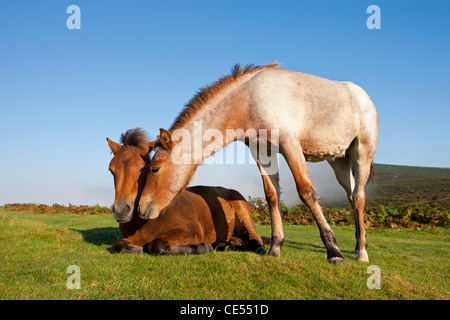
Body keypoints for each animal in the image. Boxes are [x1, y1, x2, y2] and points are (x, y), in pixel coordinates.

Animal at [107, 127, 266, 255]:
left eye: (142, 168)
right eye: (111, 170)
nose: (121, 210)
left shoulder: (191, 231)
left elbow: (157, 245)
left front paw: (203, 247)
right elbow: (118, 245)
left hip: (244, 214)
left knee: (255, 238)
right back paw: (225, 245)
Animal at [139, 63, 378, 262]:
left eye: (155, 169)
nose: (141, 208)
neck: (251, 99)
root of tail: (364, 96)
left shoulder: (290, 145)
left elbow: (306, 192)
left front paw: (333, 250)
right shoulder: (262, 152)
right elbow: (272, 195)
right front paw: (275, 248)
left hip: (362, 152)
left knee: (359, 197)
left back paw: (362, 253)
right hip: (338, 161)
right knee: (351, 195)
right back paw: (358, 246)